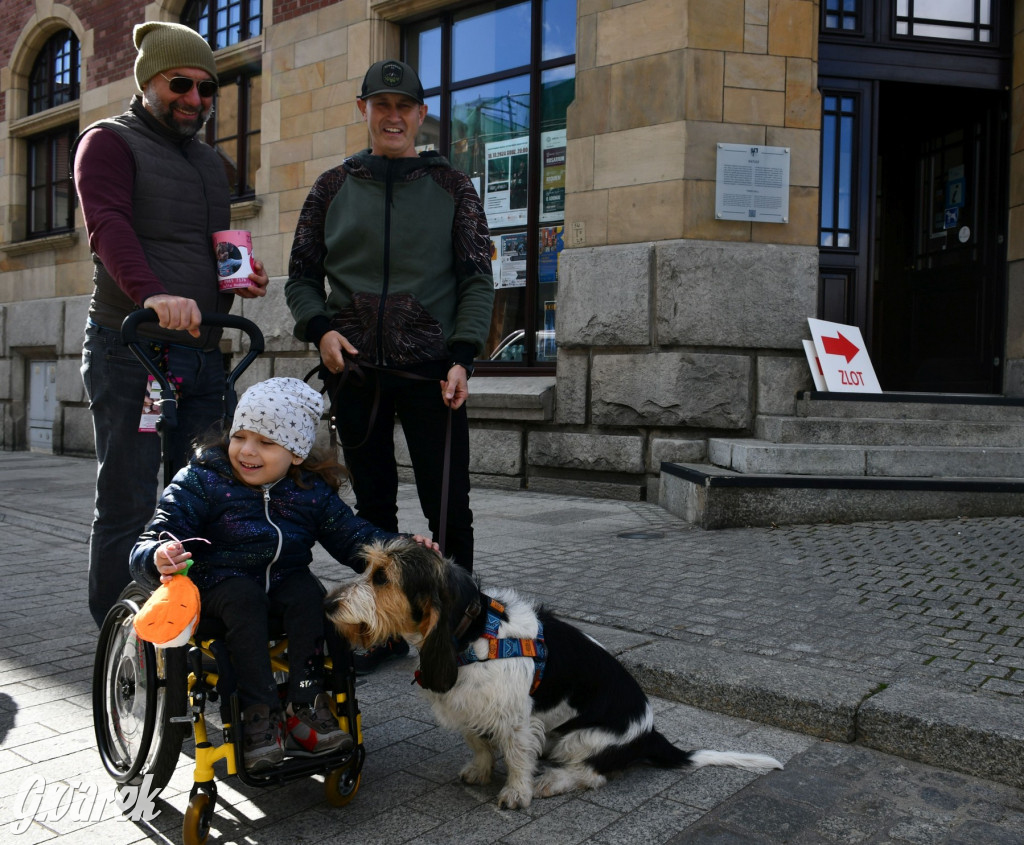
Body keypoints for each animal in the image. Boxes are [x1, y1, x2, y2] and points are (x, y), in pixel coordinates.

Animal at [323, 536, 778, 807]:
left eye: (382, 577)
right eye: (368, 569)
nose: (328, 606)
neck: (473, 634)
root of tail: (650, 733)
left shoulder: (516, 718)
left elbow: (517, 756)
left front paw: (515, 792)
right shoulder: (471, 705)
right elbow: (479, 743)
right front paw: (481, 771)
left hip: (580, 738)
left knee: (593, 774)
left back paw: (551, 781)